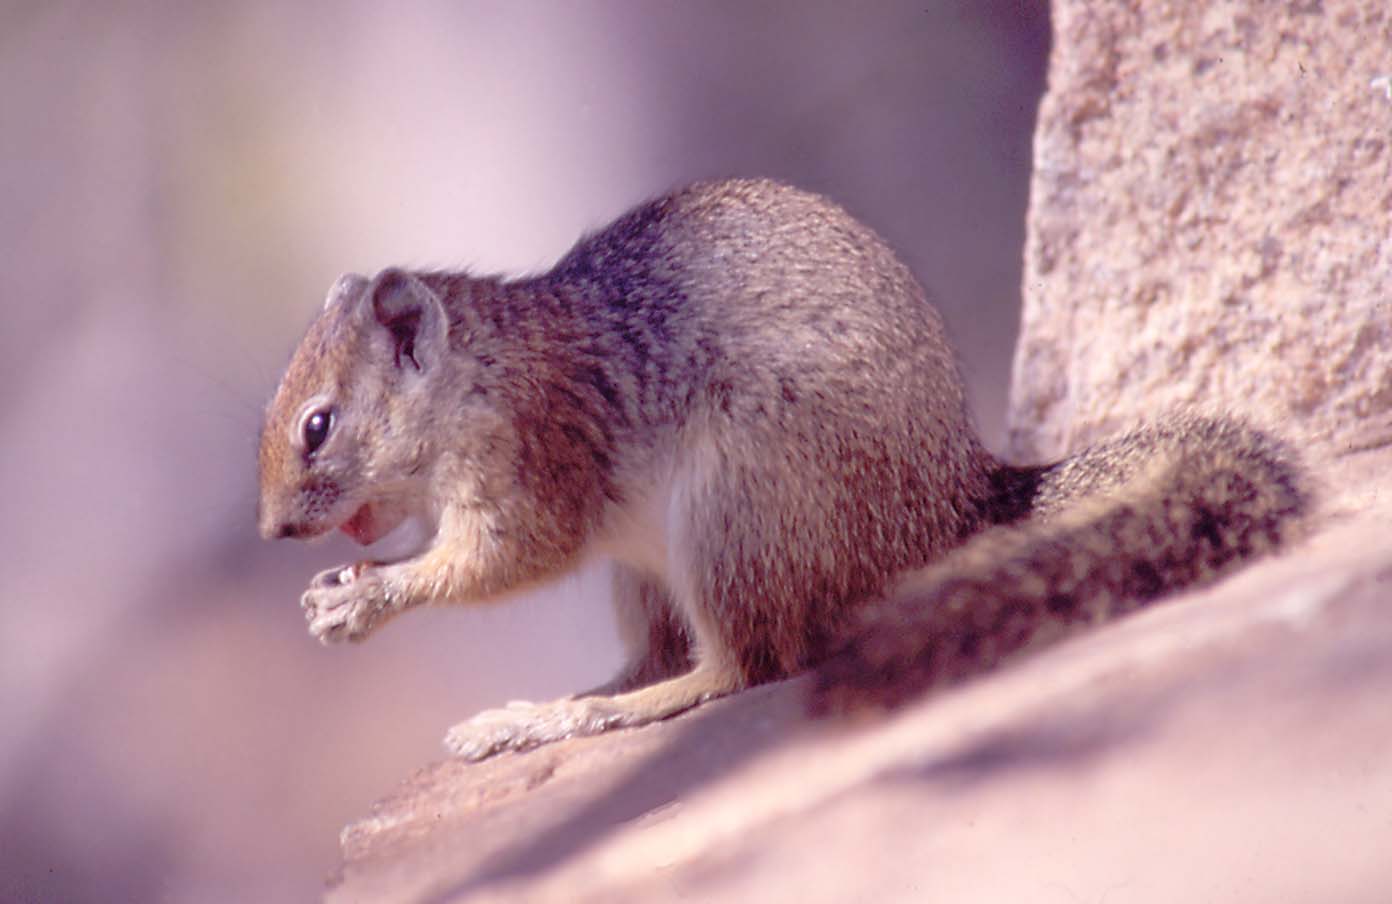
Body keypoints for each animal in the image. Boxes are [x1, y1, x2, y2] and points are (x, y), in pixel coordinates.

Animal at [257, 178, 1309, 760]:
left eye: (317, 425)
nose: (272, 533)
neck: (477, 370)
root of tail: (951, 507)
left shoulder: (532, 456)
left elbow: (502, 560)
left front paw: (364, 597)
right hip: (653, 569)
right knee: (671, 654)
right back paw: (555, 707)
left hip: (736, 509)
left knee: (740, 669)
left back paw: (576, 718)